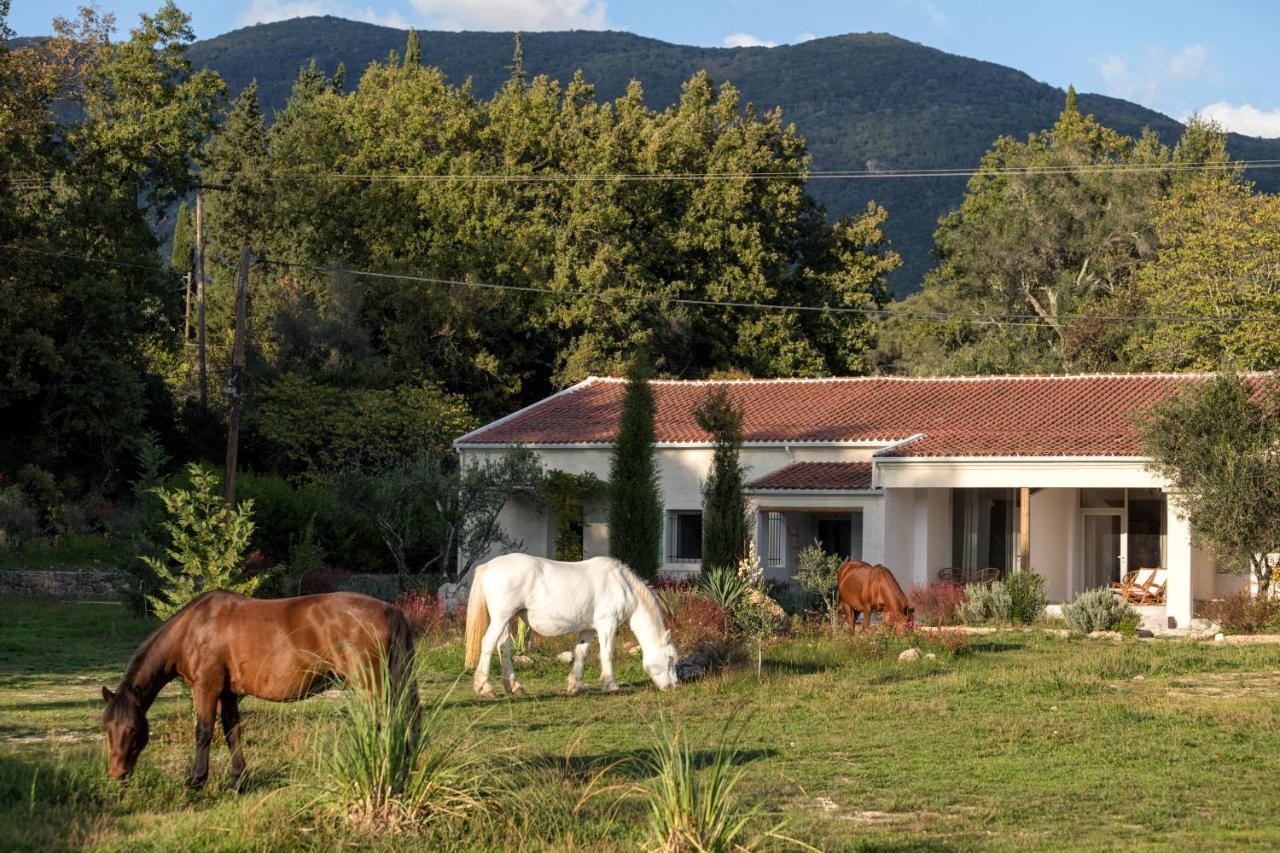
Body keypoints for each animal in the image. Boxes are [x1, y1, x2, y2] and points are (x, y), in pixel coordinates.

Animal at [104, 589, 417, 788]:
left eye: (133, 729)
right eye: (107, 728)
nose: (117, 774)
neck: (194, 627)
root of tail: (389, 609)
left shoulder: (207, 687)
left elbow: (204, 731)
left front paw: (196, 780)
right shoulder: (227, 691)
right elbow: (232, 731)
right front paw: (237, 781)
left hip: (371, 684)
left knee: (388, 723)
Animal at [463, 550, 680, 696]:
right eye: (670, 658)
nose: (673, 687)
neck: (622, 586)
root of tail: (487, 566)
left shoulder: (588, 629)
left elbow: (581, 653)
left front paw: (575, 685)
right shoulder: (607, 625)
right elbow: (607, 654)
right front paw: (610, 685)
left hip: (508, 620)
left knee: (504, 647)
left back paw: (515, 687)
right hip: (501, 618)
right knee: (489, 644)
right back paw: (485, 687)